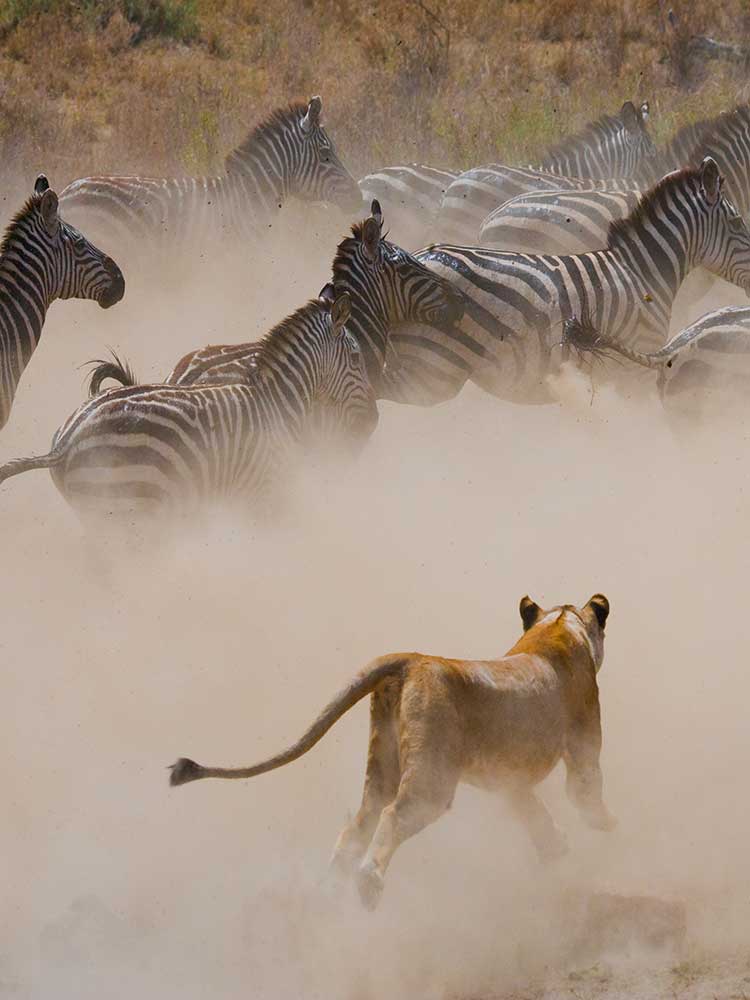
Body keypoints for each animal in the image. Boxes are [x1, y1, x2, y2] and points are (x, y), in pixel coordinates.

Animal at [0, 290, 377, 523]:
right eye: (357, 358)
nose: (373, 420)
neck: (279, 401)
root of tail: (66, 443)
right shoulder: (263, 493)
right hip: (128, 505)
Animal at [170, 593, 616, 909]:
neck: (558, 625)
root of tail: (412, 659)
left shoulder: (508, 778)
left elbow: (531, 811)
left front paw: (555, 849)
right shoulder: (583, 744)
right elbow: (585, 791)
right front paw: (605, 826)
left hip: (382, 762)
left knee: (358, 824)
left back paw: (331, 890)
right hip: (432, 779)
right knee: (392, 815)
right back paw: (367, 885)